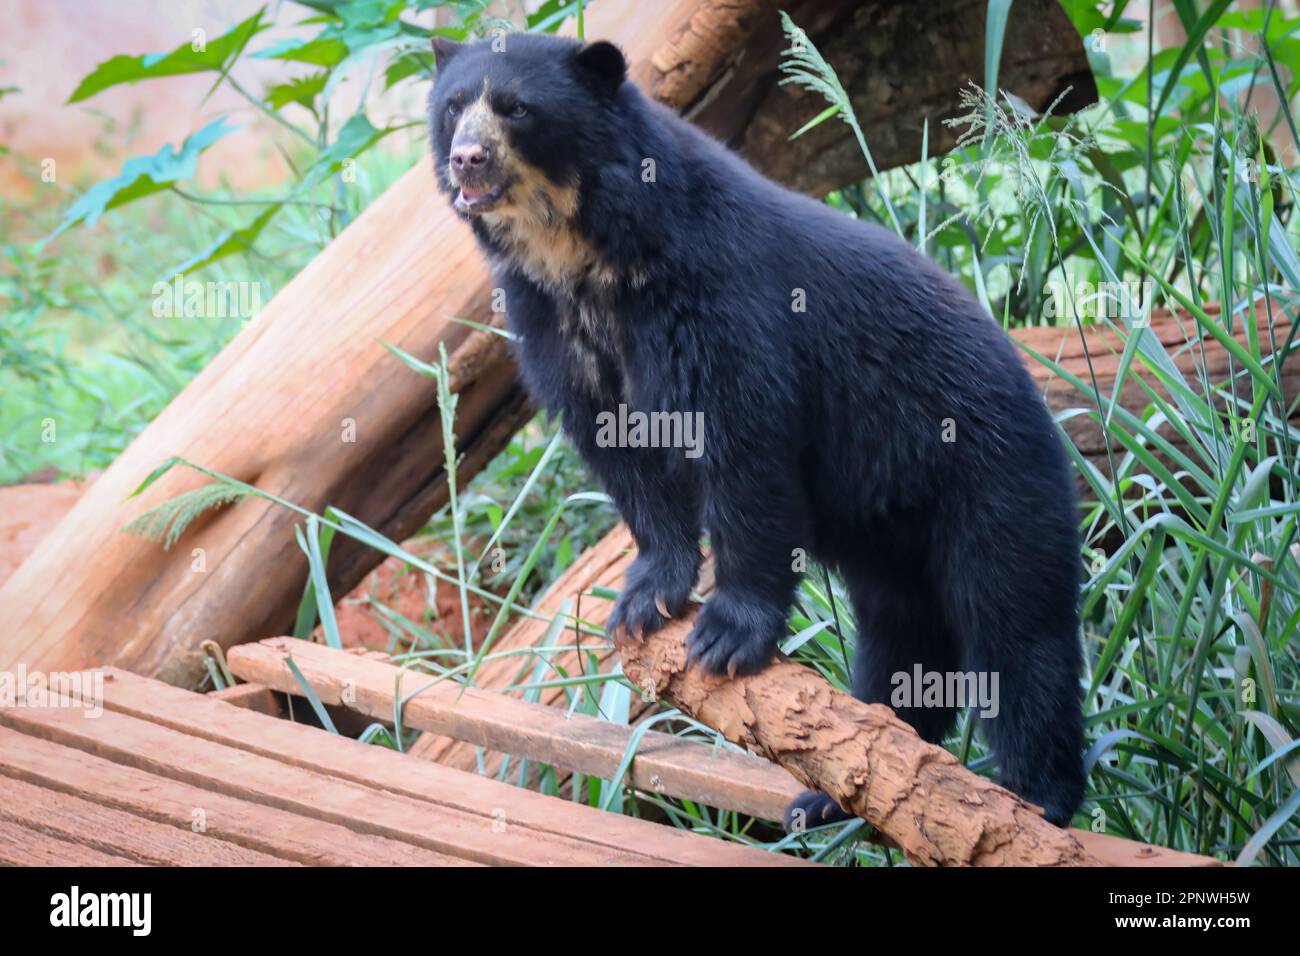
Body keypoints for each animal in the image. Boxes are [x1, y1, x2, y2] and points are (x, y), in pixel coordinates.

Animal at [428, 31, 1086, 828]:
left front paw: (724, 637)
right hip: (891, 533)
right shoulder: (550, 322)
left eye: (516, 109)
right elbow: (623, 456)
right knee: (903, 634)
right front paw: (644, 601)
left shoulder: (717, 297)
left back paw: (1040, 798)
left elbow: (744, 446)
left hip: (991, 475)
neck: (584, 252)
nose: (467, 160)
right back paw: (841, 784)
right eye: (453, 106)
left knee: (1017, 626)